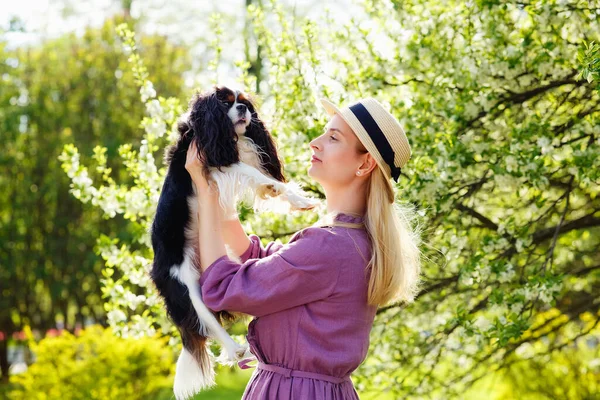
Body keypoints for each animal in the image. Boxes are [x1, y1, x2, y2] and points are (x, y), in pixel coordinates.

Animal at [149, 85, 318, 400]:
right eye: (227, 103)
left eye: (245, 104)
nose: (242, 110)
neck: (226, 135)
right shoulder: (216, 163)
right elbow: (251, 173)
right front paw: (279, 188)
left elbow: (264, 177)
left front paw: (299, 200)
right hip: (186, 284)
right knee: (209, 325)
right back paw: (238, 349)